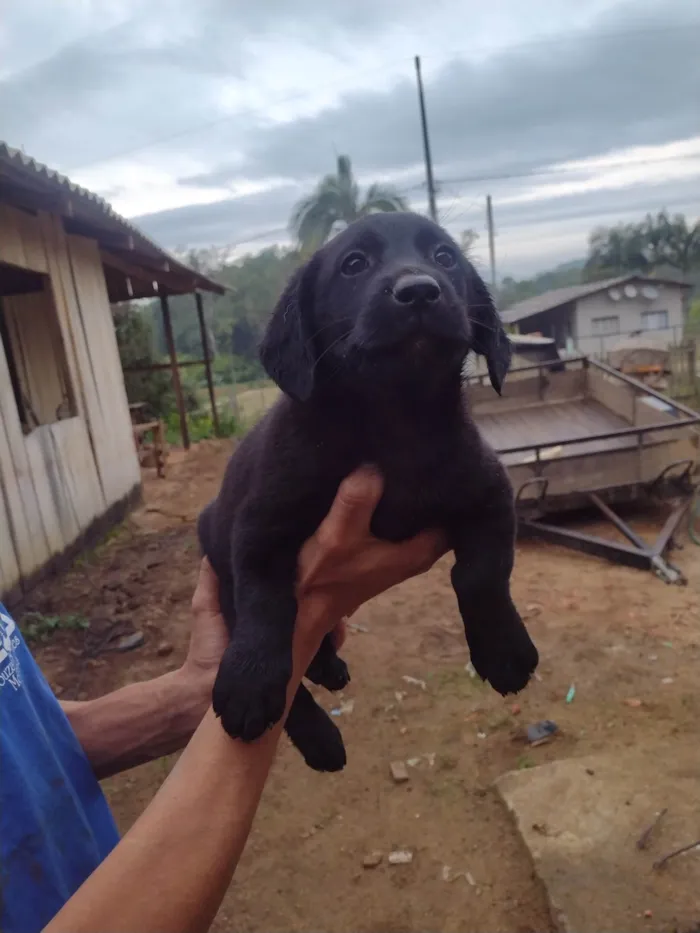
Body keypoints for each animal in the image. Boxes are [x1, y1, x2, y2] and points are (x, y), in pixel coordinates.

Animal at [200, 211, 540, 772]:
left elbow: (481, 575)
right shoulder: (259, 530)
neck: (393, 421)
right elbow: (266, 609)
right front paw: (249, 686)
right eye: (354, 264)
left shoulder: (490, 493)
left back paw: (327, 666)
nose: (420, 290)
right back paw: (319, 737)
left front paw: (505, 651)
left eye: (444, 257)